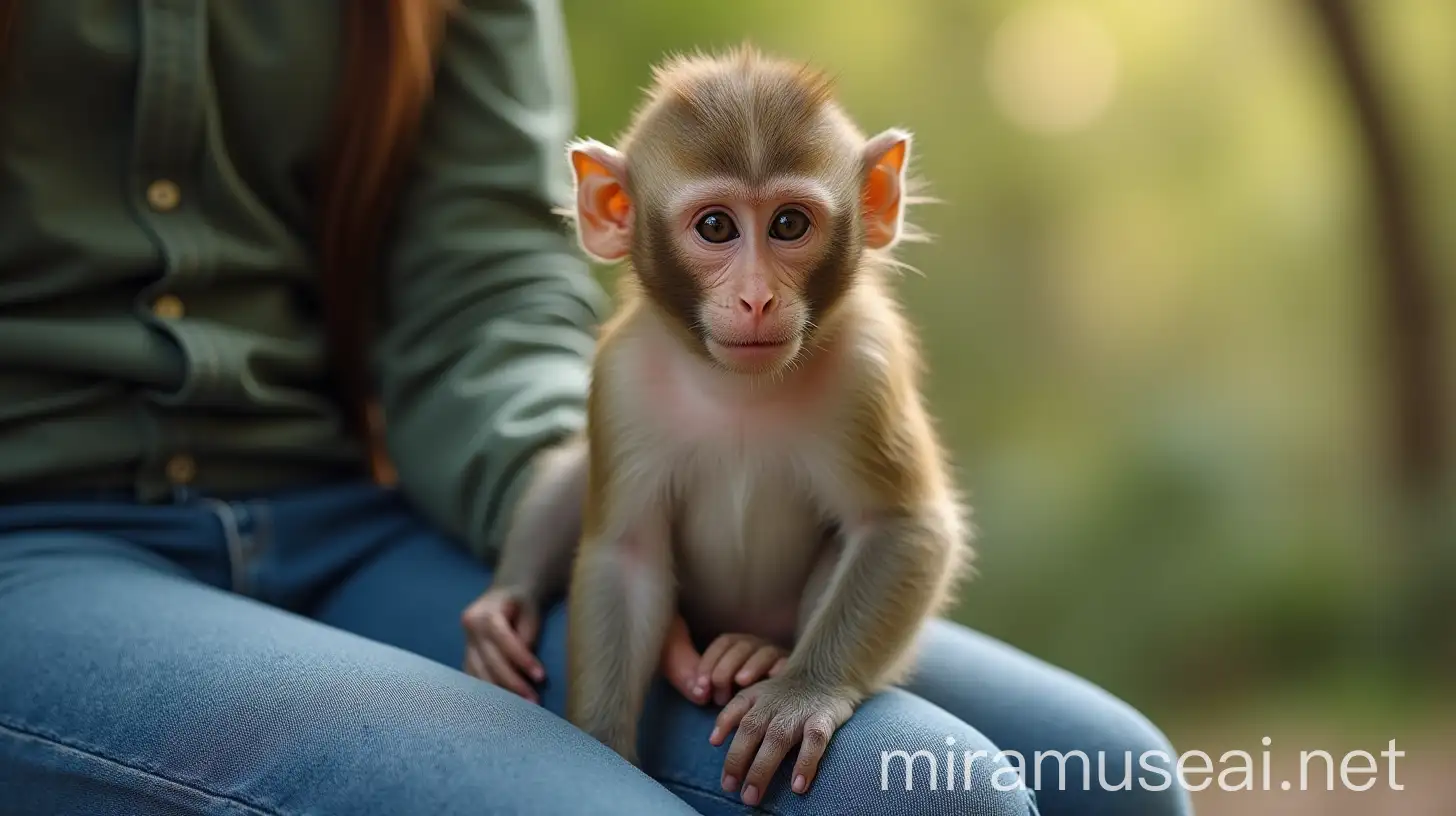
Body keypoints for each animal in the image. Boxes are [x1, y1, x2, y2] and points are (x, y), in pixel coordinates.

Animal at [562, 49, 972, 804]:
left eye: (787, 225)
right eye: (716, 228)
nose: (757, 299)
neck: (738, 390)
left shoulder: (867, 366)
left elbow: (901, 527)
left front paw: (800, 694)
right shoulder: (622, 381)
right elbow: (626, 559)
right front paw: (601, 747)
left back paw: (754, 651)